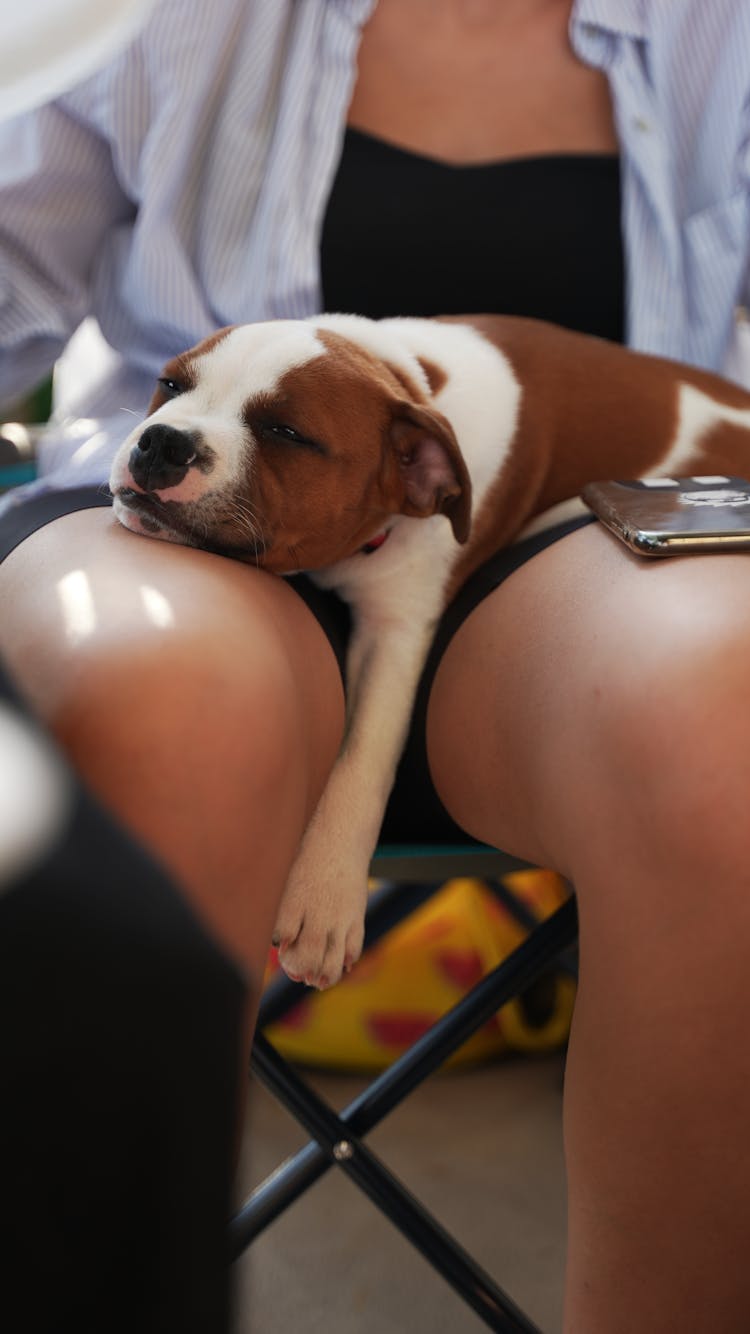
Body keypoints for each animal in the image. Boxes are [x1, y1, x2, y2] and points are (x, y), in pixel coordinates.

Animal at [106, 314, 750, 992]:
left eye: (286, 432)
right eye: (170, 385)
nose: (163, 441)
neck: (408, 379)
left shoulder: (398, 631)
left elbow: (362, 757)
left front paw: (325, 896)